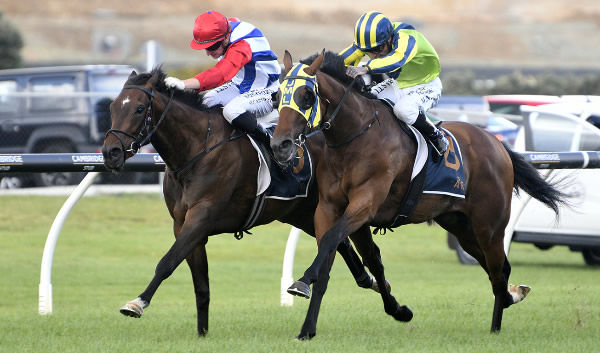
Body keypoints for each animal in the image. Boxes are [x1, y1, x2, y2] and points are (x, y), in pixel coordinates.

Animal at [99, 68, 382, 336]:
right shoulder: (183, 225)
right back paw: (367, 280)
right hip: (302, 214)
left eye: (139, 109)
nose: (110, 152)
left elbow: (167, 263)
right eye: (113, 107)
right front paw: (202, 333)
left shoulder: (201, 217)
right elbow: (201, 285)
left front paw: (137, 303)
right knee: (340, 243)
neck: (198, 149)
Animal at [272, 50, 568, 338]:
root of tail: (497, 144)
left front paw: (302, 280)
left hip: (490, 226)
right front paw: (307, 328)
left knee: (498, 269)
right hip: (460, 226)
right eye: (277, 96)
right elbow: (330, 257)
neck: (356, 135)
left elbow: (333, 240)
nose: (280, 146)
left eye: (306, 96)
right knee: (496, 267)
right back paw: (510, 299)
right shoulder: (328, 208)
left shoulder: (365, 205)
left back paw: (497, 325)